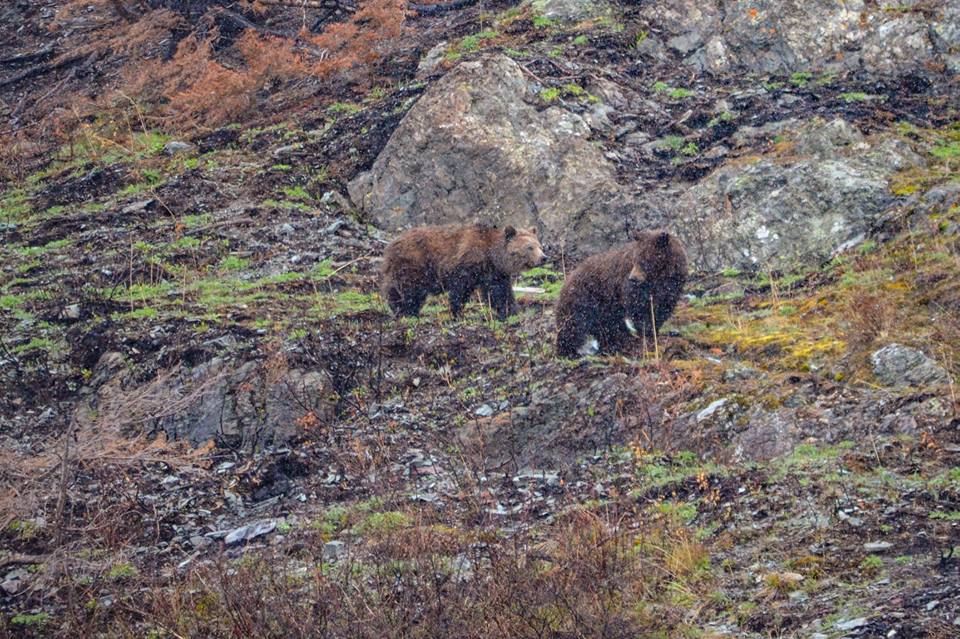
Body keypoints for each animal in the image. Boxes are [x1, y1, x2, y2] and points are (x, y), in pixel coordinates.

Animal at [380, 224, 547, 319]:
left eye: (540, 246)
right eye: (529, 247)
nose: (544, 258)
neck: (491, 255)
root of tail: (391, 244)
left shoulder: (494, 273)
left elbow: (500, 293)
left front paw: (511, 311)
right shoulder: (466, 265)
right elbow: (460, 290)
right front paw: (457, 313)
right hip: (414, 263)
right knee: (408, 289)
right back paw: (404, 310)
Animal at [555, 230, 687, 358]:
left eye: (646, 260)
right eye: (635, 258)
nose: (633, 278)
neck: (659, 277)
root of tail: (568, 278)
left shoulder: (672, 286)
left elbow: (662, 308)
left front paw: (655, 331)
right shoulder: (631, 287)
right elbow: (639, 308)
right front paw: (647, 332)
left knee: (607, 325)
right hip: (584, 298)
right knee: (574, 325)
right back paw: (569, 352)